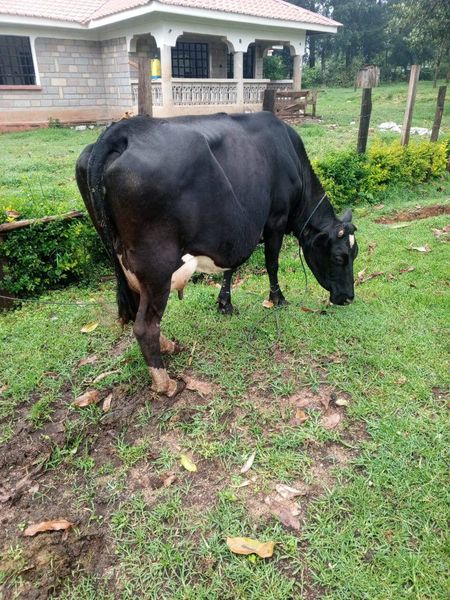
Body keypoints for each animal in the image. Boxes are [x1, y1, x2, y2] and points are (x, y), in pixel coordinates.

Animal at [76, 110, 358, 396]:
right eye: (340, 257)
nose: (348, 297)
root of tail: (125, 130)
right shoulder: (276, 220)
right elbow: (272, 263)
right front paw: (277, 299)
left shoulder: (234, 232)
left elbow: (231, 267)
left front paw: (225, 303)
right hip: (156, 266)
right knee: (144, 325)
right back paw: (165, 382)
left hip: (121, 259)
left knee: (135, 311)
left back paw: (167, 347)